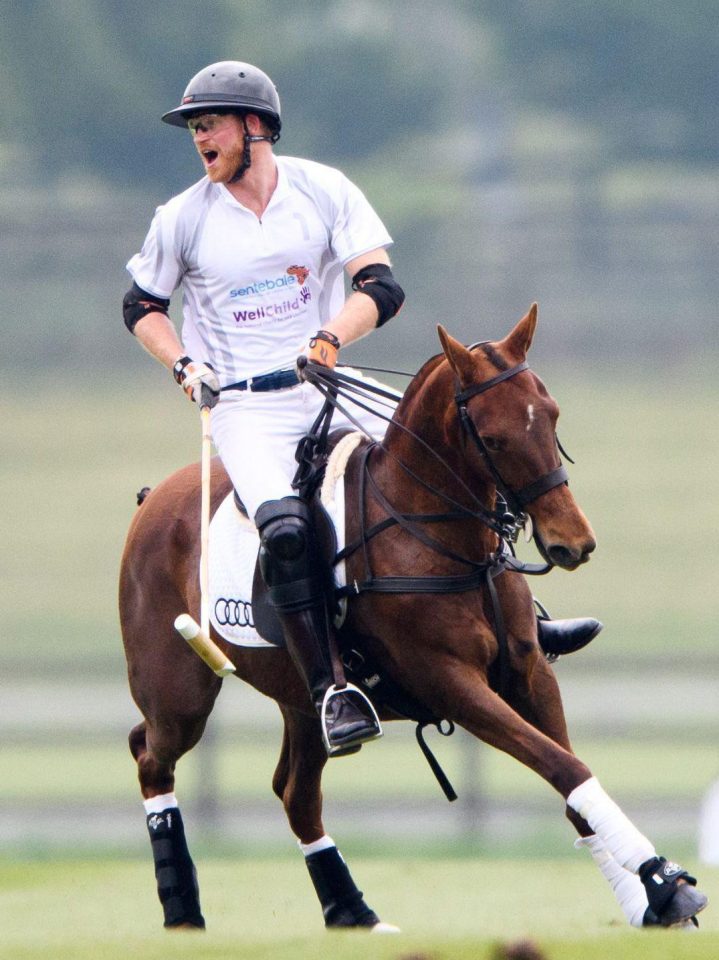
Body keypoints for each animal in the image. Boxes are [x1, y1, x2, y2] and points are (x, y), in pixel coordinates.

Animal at [121, 306, 704, 928]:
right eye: (492, 438)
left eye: (551, 416)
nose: (572, 543)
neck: (448, 544)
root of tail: (153, 499)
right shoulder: (450, 683)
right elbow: (562, 768)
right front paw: (664, 882)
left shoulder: (529, 673)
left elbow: (573, 779)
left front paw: (656, 893)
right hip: (178, 691)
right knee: (150, 754)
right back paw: (183, 911)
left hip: (301, 698)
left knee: (296, 794)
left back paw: (354, 914)